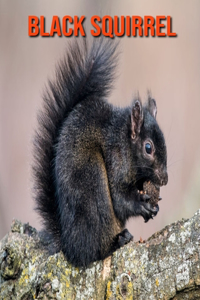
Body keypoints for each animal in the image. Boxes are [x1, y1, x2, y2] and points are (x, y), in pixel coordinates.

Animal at [33, 37, 168, 268]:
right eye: (148, 147)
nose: (165, 179)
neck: (124, 142)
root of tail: (69, 246)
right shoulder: (115, 159)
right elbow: (120, 200)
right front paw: (142, 205)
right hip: (92, 182)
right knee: (94, 251)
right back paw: (117, 242)